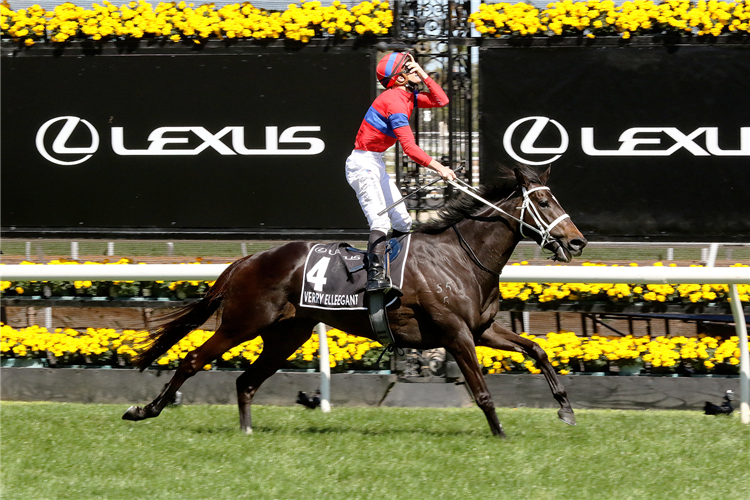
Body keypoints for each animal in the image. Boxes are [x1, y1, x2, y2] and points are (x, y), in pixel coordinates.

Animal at [123, 165, 588, 438]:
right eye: (543, 201)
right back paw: (144, 410)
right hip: (243, 322)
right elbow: (482, 391)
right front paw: (501, 435)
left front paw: (566, 410)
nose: (577, 242)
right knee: (192, 361)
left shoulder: (483, 328)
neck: (460, 256)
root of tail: (247, 260)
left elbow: (536, 349)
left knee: (247, 380)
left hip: (287, 334)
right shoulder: (456, 333)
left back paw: (246, 432)